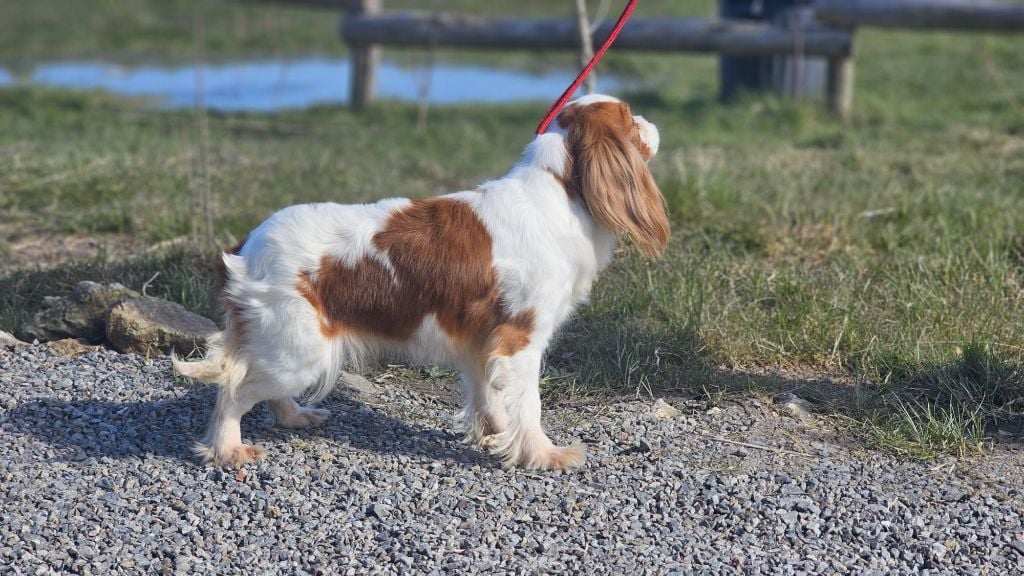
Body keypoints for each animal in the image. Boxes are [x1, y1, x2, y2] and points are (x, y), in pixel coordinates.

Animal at [174, 94, 671, 469]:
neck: (559, 186)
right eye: (630, 119)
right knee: (233, 390)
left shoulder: (480, 339)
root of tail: (247, 247)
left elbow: (487, 395)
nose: (652, 124)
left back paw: (294, 417)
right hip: (299, 351)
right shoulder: (520, 340)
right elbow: (528, 404)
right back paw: (228, 449)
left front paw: (493, 436)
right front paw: (543, 455)